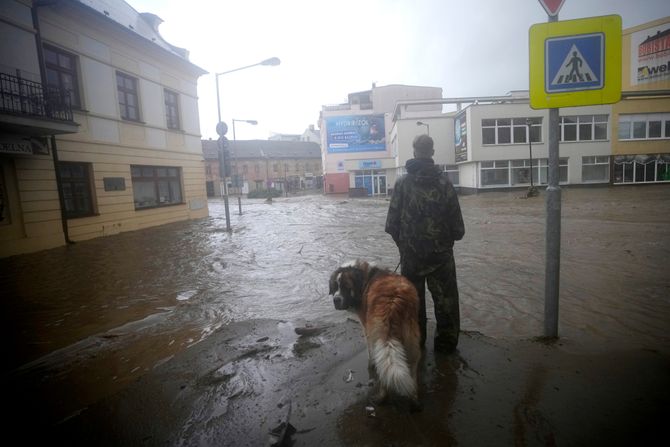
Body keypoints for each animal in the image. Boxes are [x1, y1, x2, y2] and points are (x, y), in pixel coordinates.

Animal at [330, 260, 422, 406]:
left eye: (345, 287)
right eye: (335, 287)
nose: (336, 300)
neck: (363, 280)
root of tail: (394, 300)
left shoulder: (367, 328)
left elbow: (370, 351)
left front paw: (370, 363)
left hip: (378, 334)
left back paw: (382, 396)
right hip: (411, 336)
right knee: (413, 363)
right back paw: (413, 395)